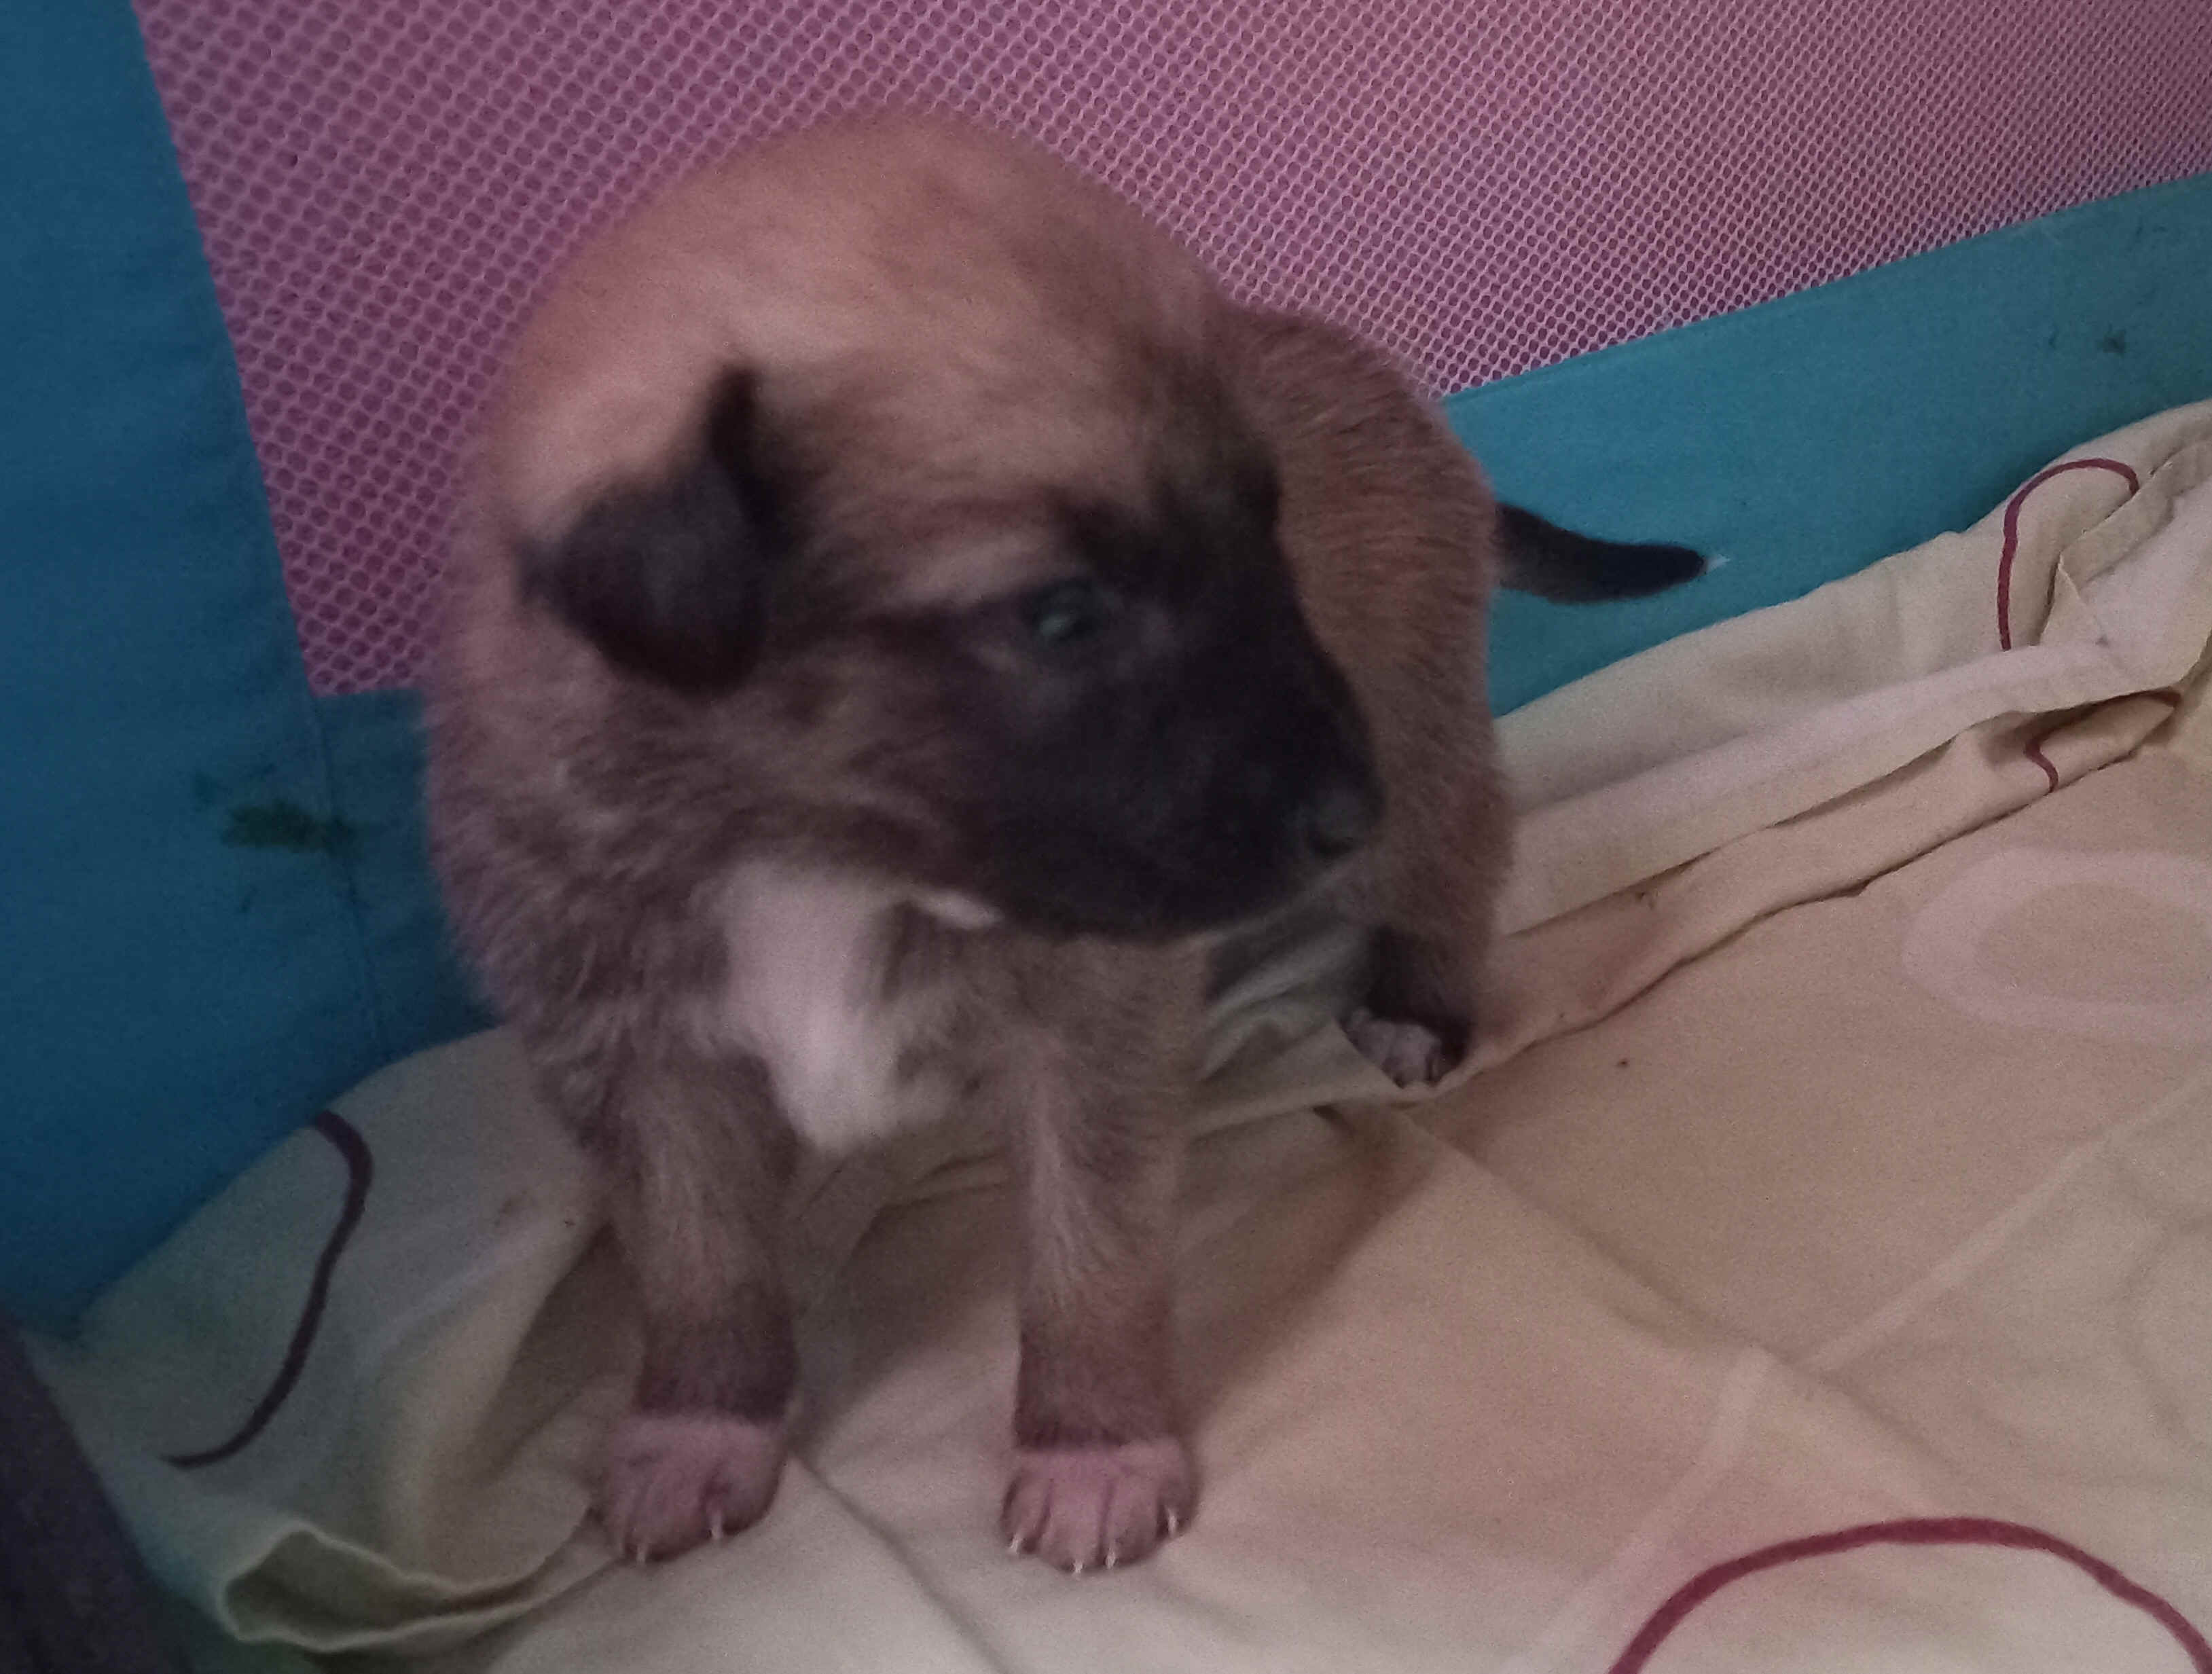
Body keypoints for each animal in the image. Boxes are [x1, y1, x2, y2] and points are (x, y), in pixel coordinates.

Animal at [426, 114, 1701, 1574]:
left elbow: (1089, 1261)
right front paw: (700, 1424)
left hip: (1418, 748)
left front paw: (1092, 1442)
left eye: (1265, 539)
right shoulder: (651, 1071)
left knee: (1458, 855)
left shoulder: (1086, 1044)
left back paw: (1414, 1005)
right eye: (1061, 613)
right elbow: (701, 1270)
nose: (1341, 804)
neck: (818, 855)